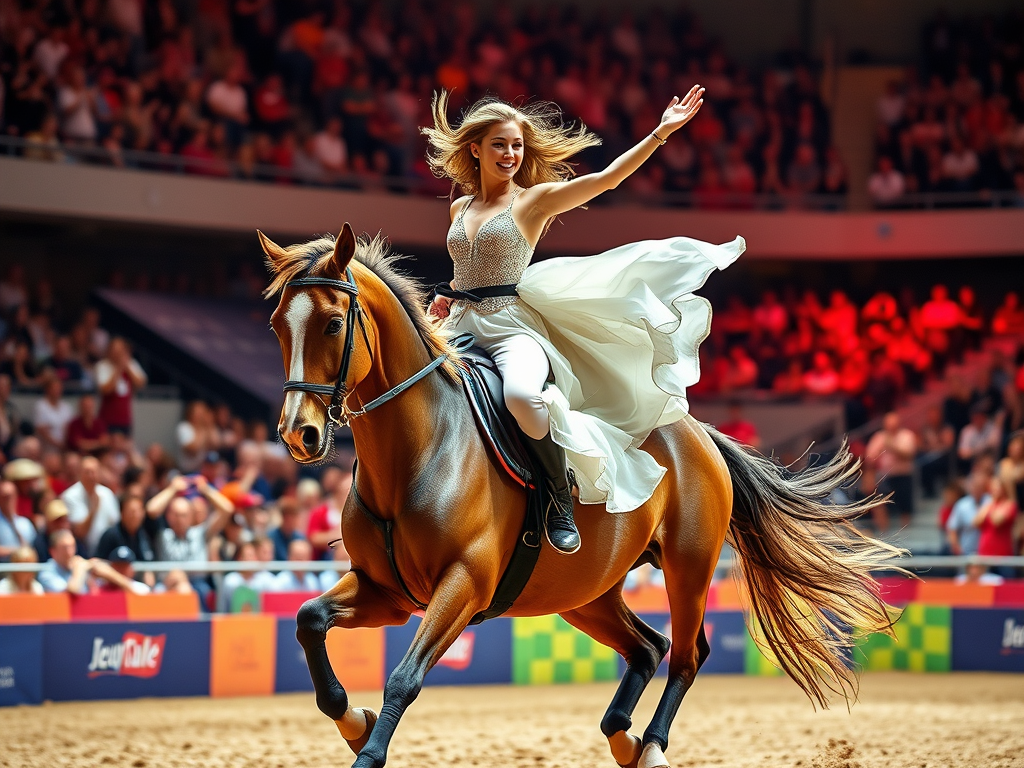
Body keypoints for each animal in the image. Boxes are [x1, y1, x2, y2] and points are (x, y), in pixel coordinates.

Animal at [261, 223, 902, 768]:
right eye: (276, 325)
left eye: (332, 325)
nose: (298, 434)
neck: (417, 452)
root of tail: (695, 430)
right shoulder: (388, 592)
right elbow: (308, 620)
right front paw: (354, 721)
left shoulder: (462, 585)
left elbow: (403, 677)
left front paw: (368, 748)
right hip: (584, 591)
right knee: (648, 647)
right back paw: (622, 737)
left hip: (688, 566)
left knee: (687, 654)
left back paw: (651, 746)